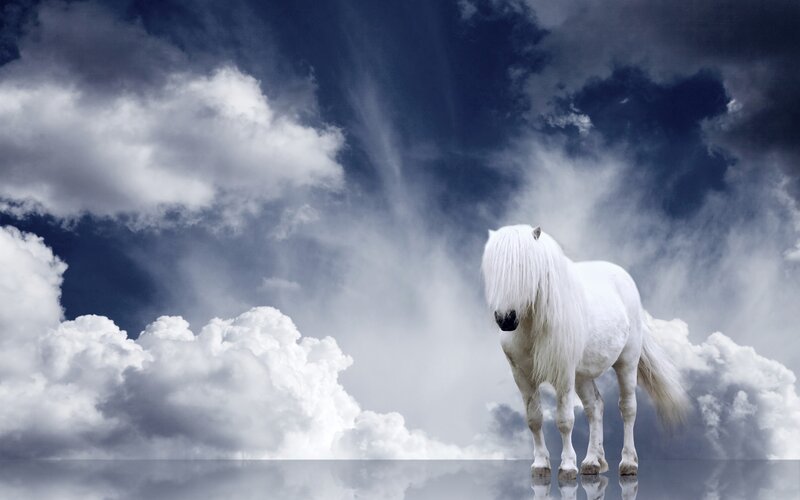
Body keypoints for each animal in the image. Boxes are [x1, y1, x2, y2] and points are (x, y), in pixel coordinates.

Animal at [481, 224, 689, 479]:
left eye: (525, 267)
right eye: (493, 270)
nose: (506, 319)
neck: (533, 327)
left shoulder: (564, 374)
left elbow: (564, 420)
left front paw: (567, 466)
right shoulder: (522, 376)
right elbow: (534, 419)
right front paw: (540, 465)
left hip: (626, 362)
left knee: (628, 408)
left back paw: (628, 463)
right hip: (582, 376)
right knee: (595, 407)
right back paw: (593, 462)